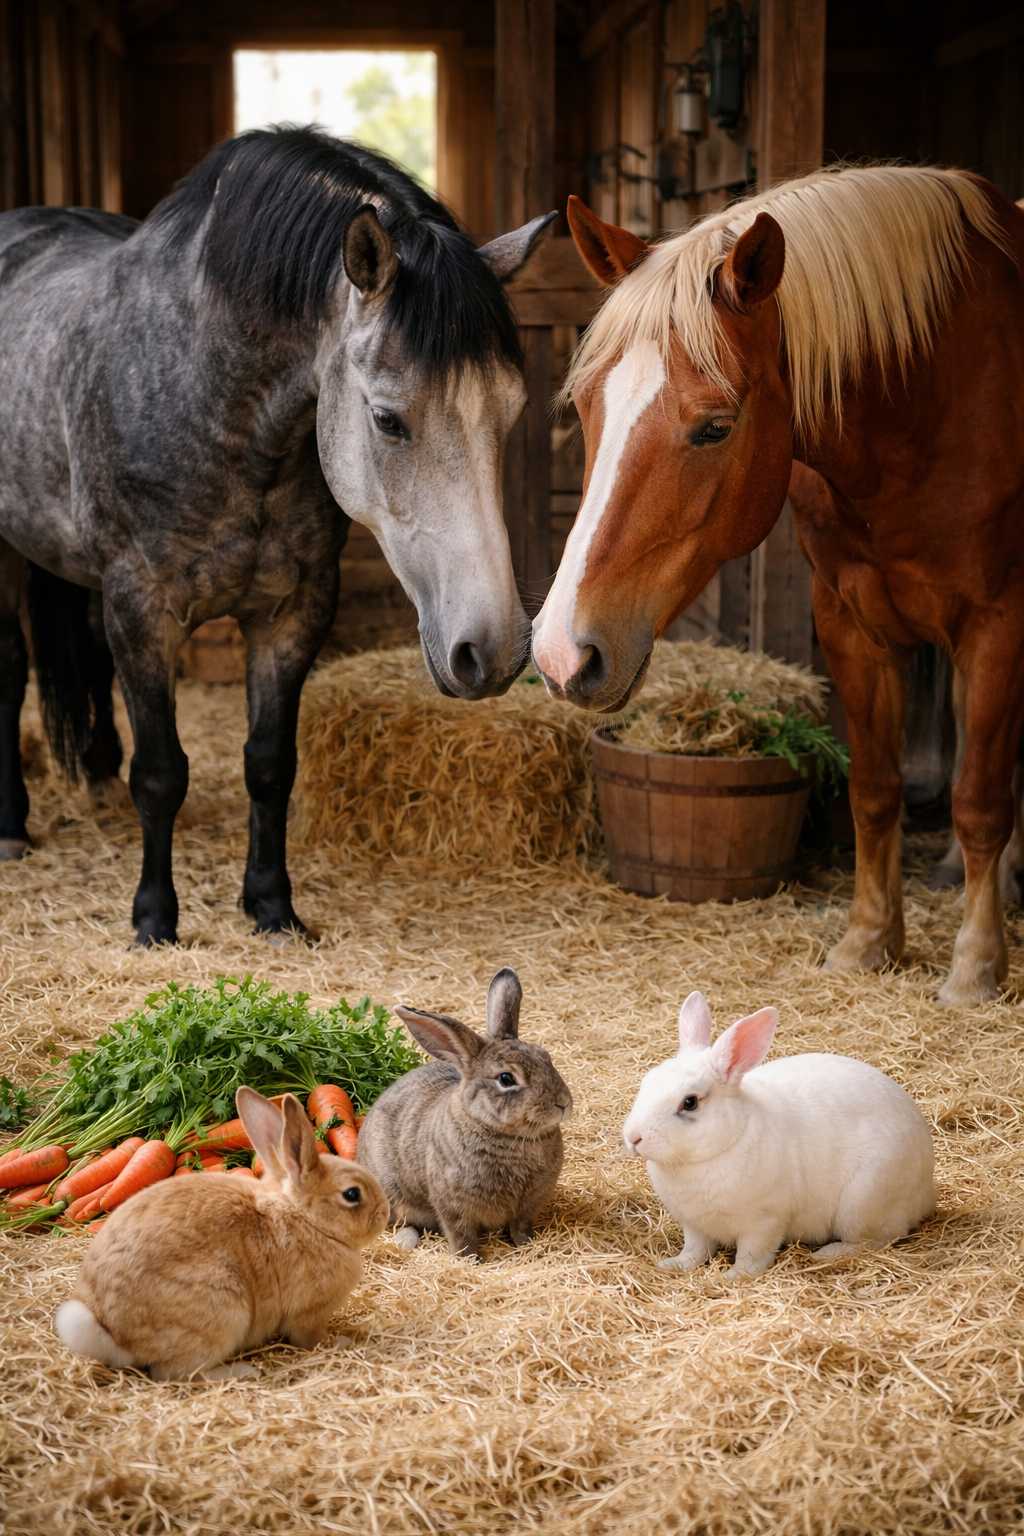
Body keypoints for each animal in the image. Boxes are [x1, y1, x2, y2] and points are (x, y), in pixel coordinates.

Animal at [0, 125, 553, 946]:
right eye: (388, 419)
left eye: (510, 412)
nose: (491, 651)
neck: (207, 391)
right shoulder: (143, 611)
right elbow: (160, 771)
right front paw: (154, 920)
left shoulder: (292, 612)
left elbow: (269, 763)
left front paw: (271, 906)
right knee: (9, 673)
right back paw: (12, 827)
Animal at [54, 1086, 388, 1380]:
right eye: (352, 1194)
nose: (384, 1213)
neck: (307, 1218)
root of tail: (113, 1334)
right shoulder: (309, 1313)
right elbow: (311, 1338)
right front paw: (342, 1342)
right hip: (222, 1307)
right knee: (176, 1372)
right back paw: (242, 1372)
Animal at [358, 967, 572, 1259]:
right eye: (506, 1079)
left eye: (546, 1057)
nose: (563, 1104)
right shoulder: (453, 1207)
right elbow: (462, 1236)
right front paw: (471, 1260)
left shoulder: (528, 1206)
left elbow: (520, 1227)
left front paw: (526, 1244)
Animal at [533, 165, 1024, 1006]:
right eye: (586, 404)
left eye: (714, 427)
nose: (565, 653)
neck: (942, 392)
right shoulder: (850, 623)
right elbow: (875, 789)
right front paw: (867, 942)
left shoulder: (998, 625)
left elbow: (979, 801)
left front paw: (976, 967)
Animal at [623, 991, 935, 1280]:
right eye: (647, 1080)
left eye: (689, 1102)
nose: (634, 1137)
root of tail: (926, 1191)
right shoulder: (695, 1226)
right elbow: (695, 1250)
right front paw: (673, 1265)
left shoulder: (763, 1222)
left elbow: (752, 1255)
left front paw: (732, 1277)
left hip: (862, 1204)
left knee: (878, 1239)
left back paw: (827, 1254)